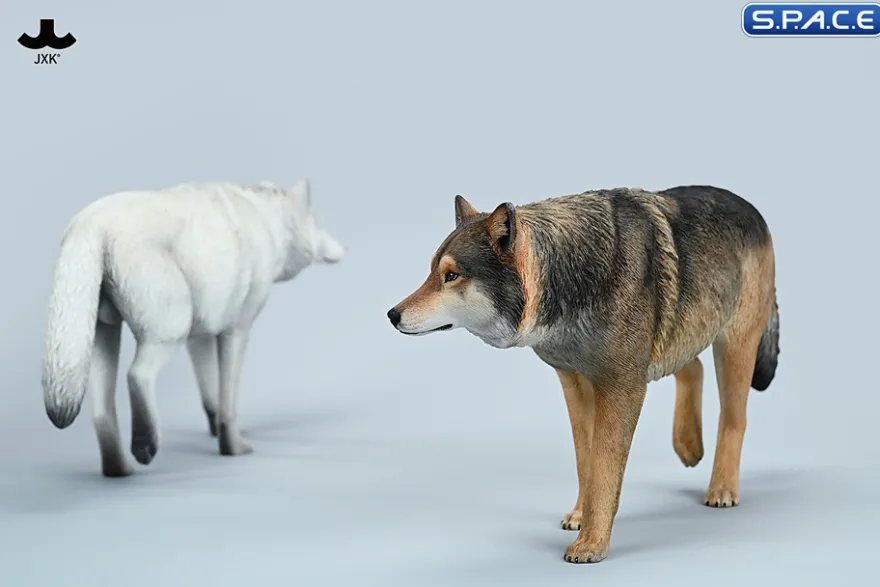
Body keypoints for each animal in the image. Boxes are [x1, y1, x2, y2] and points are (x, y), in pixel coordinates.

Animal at [42, 179, 345, 477]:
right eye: (317, 221)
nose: (345, 249)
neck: (267, 222)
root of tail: (90, 225)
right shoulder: (236, 330)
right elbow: (228, 398)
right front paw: (233, 446)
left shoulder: (200, 337)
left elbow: (212, 397)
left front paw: (215, 432)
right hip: (170, 332)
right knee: (137, 375)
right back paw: (145, 445)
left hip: (102, 339)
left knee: (102, 414)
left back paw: (119, 470)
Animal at [387, 185, 779, 563]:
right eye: (431, 273)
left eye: (451, 276)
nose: (392, 315)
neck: (574, 273)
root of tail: (754, 211)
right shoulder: (575, 382)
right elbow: (585, 462)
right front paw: (581, 516)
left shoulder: (621, 387)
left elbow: (604, 469)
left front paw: (591, 544)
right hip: (684, 329)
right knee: (692, 367)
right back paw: (688, 447)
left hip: (733, 347)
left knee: (734, 417)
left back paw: (722, 488)